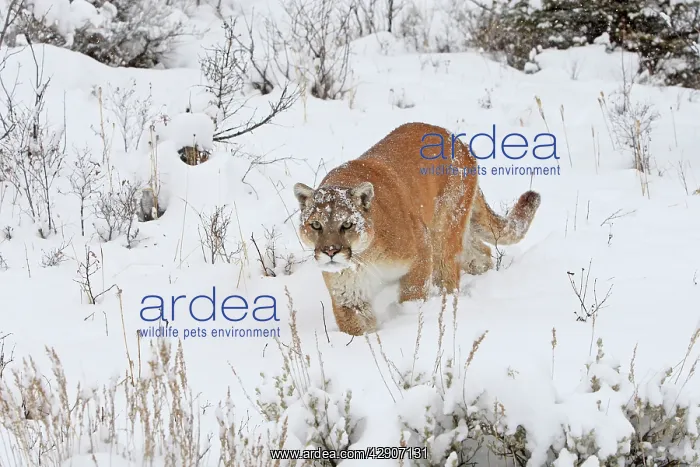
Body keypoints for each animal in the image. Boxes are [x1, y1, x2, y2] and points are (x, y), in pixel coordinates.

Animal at [293, 122, 541, 336]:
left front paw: (410, 319)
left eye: (347, 224)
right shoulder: (349, 296)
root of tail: (453, 137)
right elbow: (357, 328)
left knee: (449, 271)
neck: (364, 258)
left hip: (443, 232)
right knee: (481, 252)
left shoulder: (421, 248)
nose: (330, 251)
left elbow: (413, 293)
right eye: (316, 225)